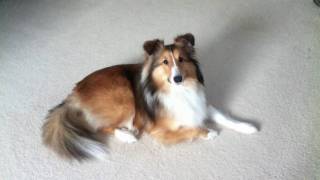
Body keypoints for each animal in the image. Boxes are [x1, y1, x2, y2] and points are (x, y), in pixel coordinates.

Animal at [42, 33, 258, 161]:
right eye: (165, 62)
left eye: (181, 60)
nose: (178, 78)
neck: (178, 91)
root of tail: (74, 92)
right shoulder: (159, 129)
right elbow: (189, 129)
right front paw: (209, 132)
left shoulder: (201, 104)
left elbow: (225, 117)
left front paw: (247, 127)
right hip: (123, 97)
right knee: (100, 127)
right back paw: (127, 135)